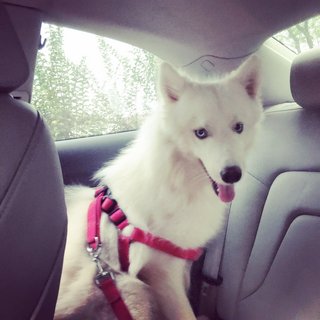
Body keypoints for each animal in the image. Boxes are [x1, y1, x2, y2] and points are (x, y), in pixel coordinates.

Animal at [55, 56, 262, 318]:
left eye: (238, 127)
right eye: (200, 133)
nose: (232, 174)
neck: (178, 181)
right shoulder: (163, 272)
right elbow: (185, 313)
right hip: (132, 287)